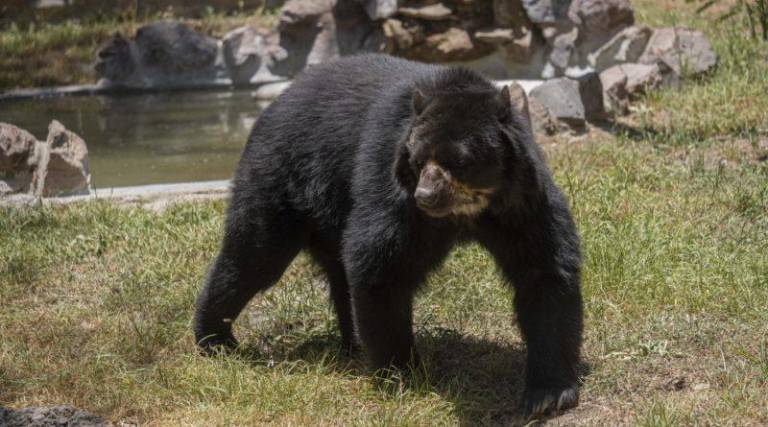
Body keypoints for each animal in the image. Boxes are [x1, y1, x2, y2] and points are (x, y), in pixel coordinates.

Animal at [195, 53, 584, 418]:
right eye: (417, 160)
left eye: (458, 161)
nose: (426, 196)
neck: (468, 212)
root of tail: (275, 104)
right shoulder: (391, 186)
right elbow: (380, 264)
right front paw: (402, 375)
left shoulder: (521, 201)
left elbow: (544, 270)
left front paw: (547, 395)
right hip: (282, 178)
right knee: (254, 256)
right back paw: (216, 338)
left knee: (332, 273)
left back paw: (351, 344)